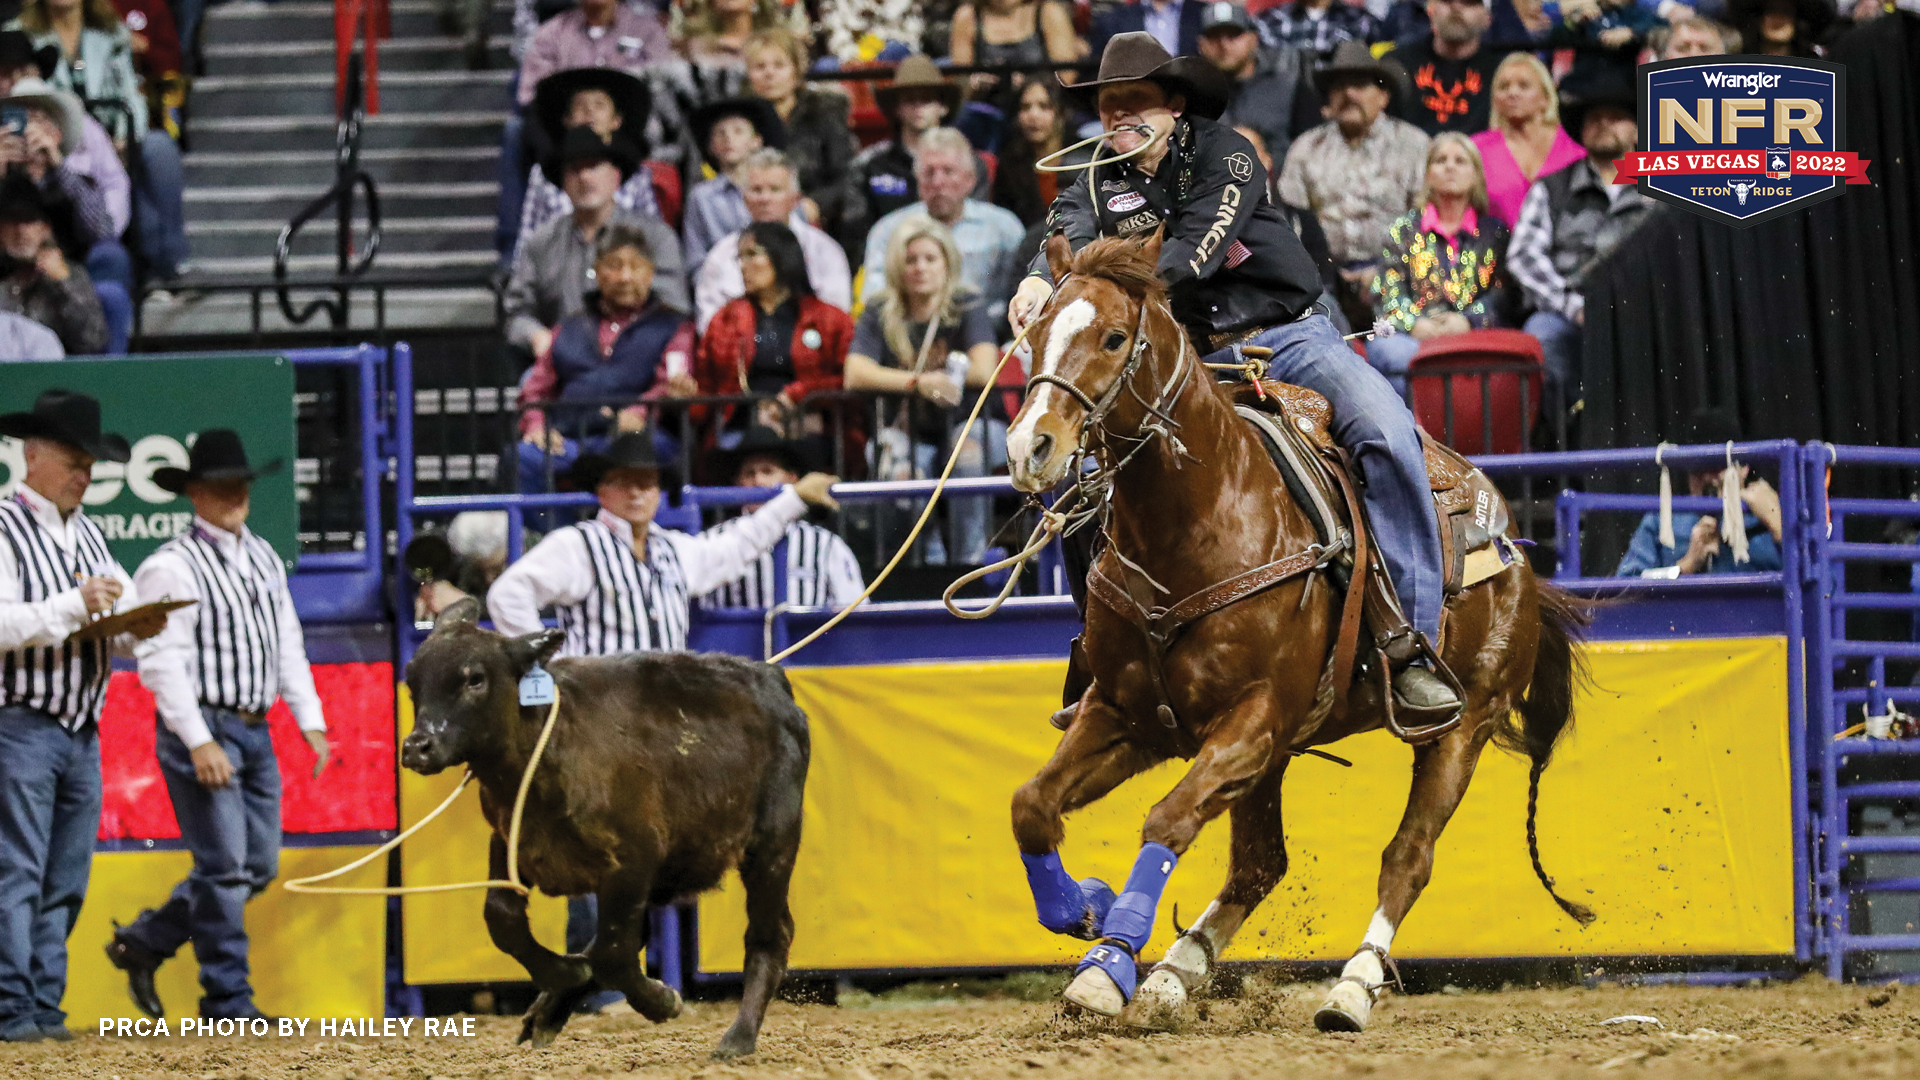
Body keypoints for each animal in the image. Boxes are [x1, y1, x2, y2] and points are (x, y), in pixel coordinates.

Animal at [1006, 233, 1589, 1022]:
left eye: (1114, 337)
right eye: (1033, 332)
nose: (1029, 448)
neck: (1204, 517)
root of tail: (1517, 554)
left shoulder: (1253, 720)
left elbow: (1168, 820)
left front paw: (1111, 964)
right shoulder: (1129, 715)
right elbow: (1032, 805)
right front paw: (1085, 913)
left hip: (1461, 729)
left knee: (1408, 857)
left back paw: (1352, 986)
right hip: (1277, 757)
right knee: (1259, 865)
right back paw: (1174, 974)